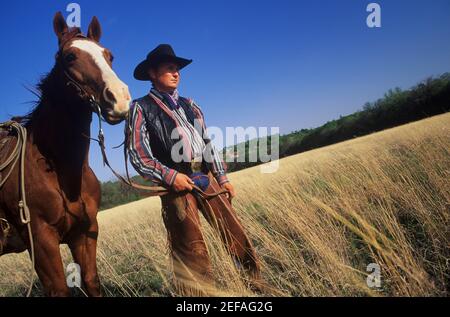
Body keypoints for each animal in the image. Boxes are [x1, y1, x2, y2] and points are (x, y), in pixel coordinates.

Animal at [0, 10, 130, 296]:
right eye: (70, 57)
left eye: (109, 55)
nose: (119, 98)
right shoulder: (41, 242)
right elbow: (59, 289)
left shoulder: (85, 233)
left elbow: (91, 281)